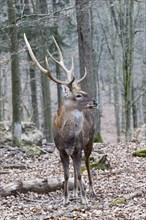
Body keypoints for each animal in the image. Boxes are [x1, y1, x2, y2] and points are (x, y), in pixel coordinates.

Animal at [23, 33, 97, 205]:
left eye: (84, 91)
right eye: (78, 95)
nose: (95, 102)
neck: (68, 137)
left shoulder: (77, 147)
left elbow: (79, 173)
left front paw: (84, 199)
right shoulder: (61, 150)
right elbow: (66, 174)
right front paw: (65, 199)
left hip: (90, 141)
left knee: (87, 163)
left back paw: (91, 190)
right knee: (76, 168)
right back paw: (75, 192)